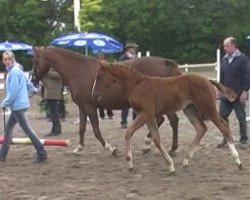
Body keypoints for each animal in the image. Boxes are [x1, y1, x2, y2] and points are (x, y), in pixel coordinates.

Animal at [92, 61, 242, 173]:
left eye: (99, 76)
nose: (94, 94)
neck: (137, 85)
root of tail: (208, 80)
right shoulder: (149, 116)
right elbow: (156, 138)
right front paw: (170, 165)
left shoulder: (145, 113)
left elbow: (129, 132)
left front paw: (129, 162)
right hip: (190, 109)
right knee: (201, 128)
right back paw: (186, 161)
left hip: (207, 108)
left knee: (223, 127)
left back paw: (238, 161)